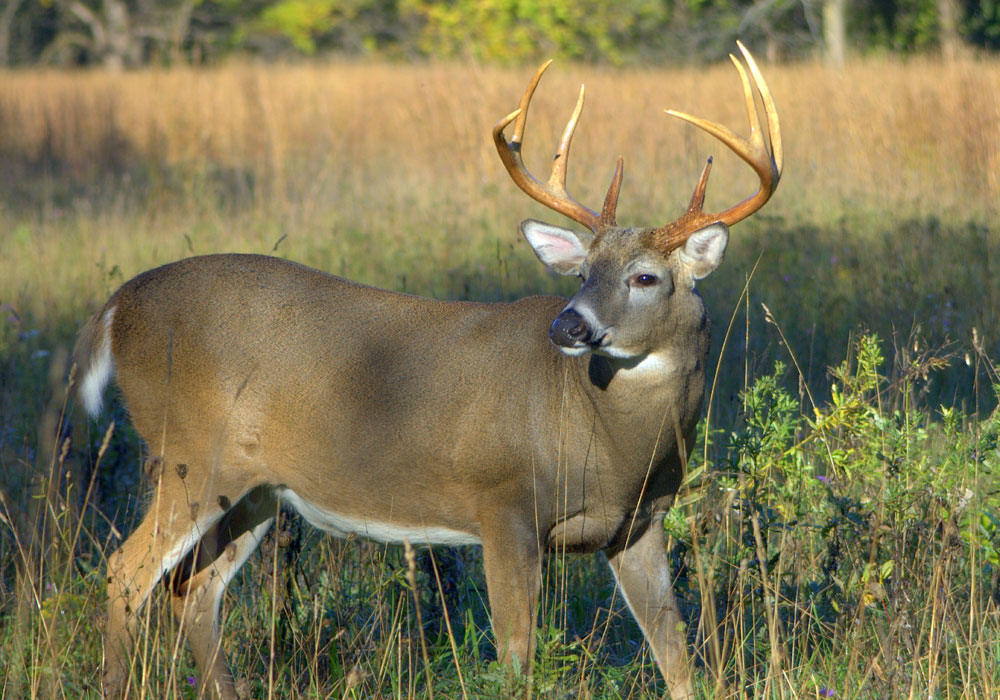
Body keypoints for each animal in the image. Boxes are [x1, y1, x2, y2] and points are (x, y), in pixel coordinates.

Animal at [76, 43, 780, 700]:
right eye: (583, 272)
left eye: (645, 277)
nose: (568, 327)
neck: (607, 440)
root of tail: (116, 306)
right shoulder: (505, 506)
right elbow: (517, 661)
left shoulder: (639, 525)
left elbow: (677, 658)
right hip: (187, 454)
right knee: (125, 573)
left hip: (256, 489)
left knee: (193, 588)